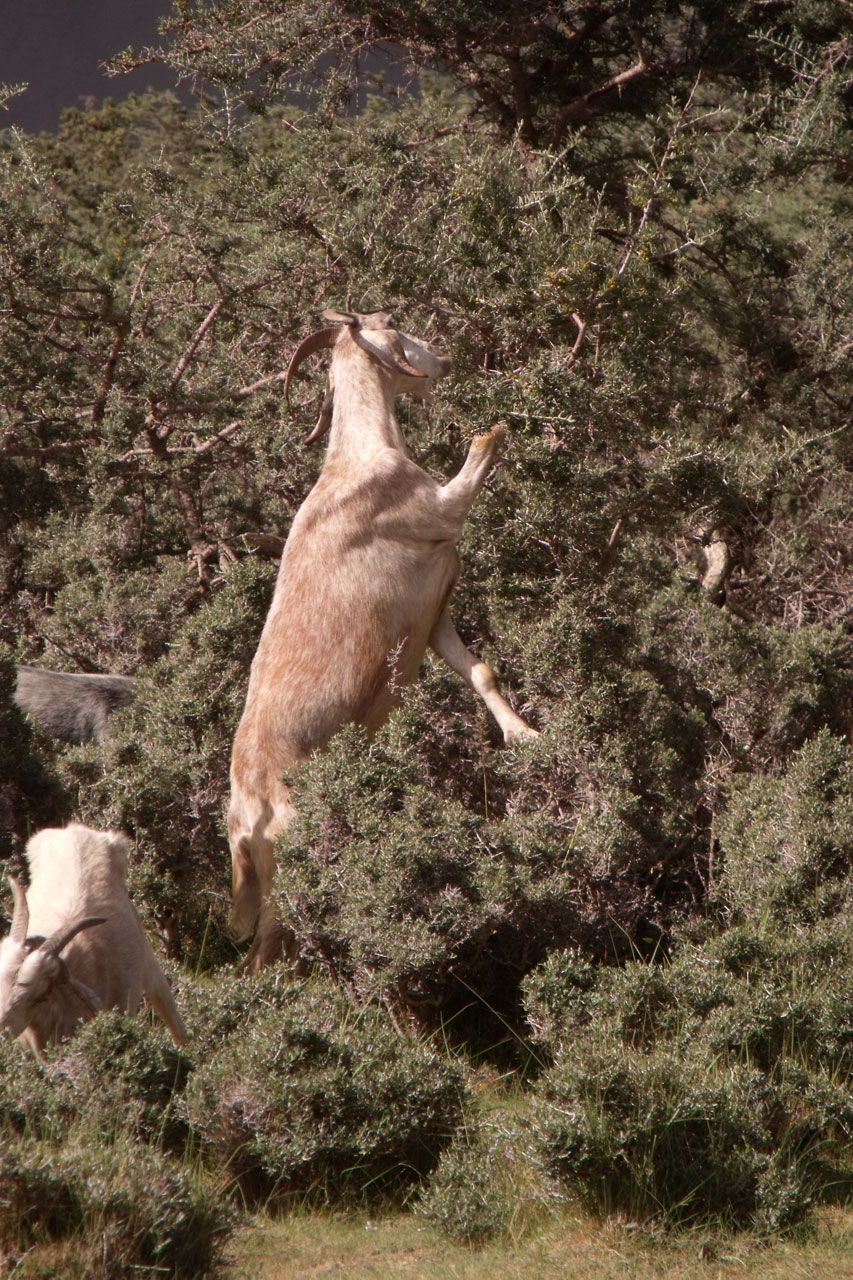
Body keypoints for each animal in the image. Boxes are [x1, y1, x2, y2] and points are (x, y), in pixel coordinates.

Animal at [229, 307, 535, 967]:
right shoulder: (440, 509)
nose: (442, 357)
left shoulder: (431, 612)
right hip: (290, 865)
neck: (360, 460)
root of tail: (242, 821)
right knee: (268, 948)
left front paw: (527, 738)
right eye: (391, 323)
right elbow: (479, 457)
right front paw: (498, 423)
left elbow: (480, 672)